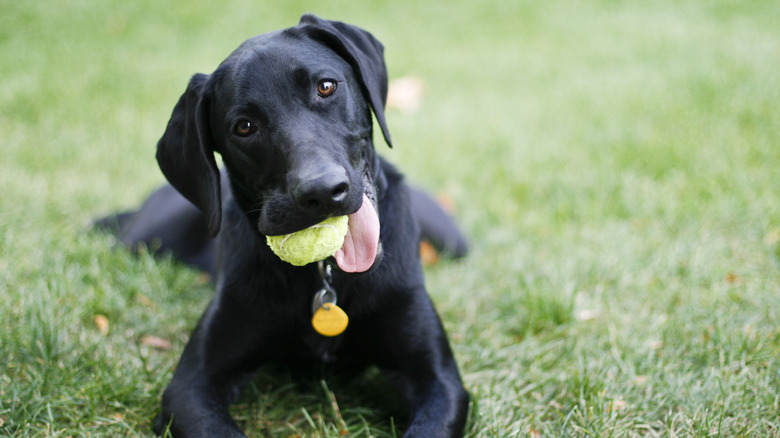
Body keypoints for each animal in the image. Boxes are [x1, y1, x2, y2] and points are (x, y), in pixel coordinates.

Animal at [100, 14, 466, 438]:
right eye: (244, 126)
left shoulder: (438, 378)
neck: (325, 276)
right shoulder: (191, 385)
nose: (322, 192)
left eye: (326, 86)